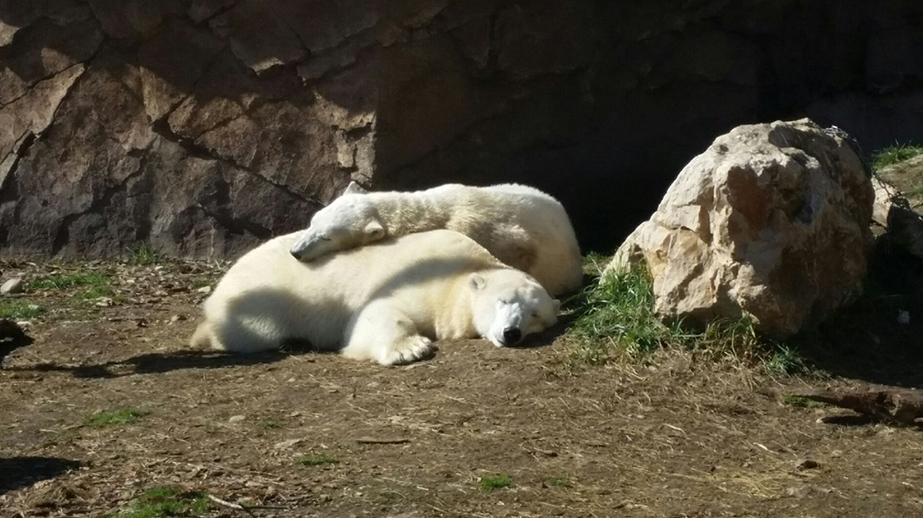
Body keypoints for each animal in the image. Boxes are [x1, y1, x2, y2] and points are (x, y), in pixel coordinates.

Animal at [191, 230, 560, 368]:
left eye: (535, 315)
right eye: (504, 301)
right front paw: (410, 348)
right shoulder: (422, 277)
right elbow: (378, 311)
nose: (512, 333)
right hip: (262, 304)